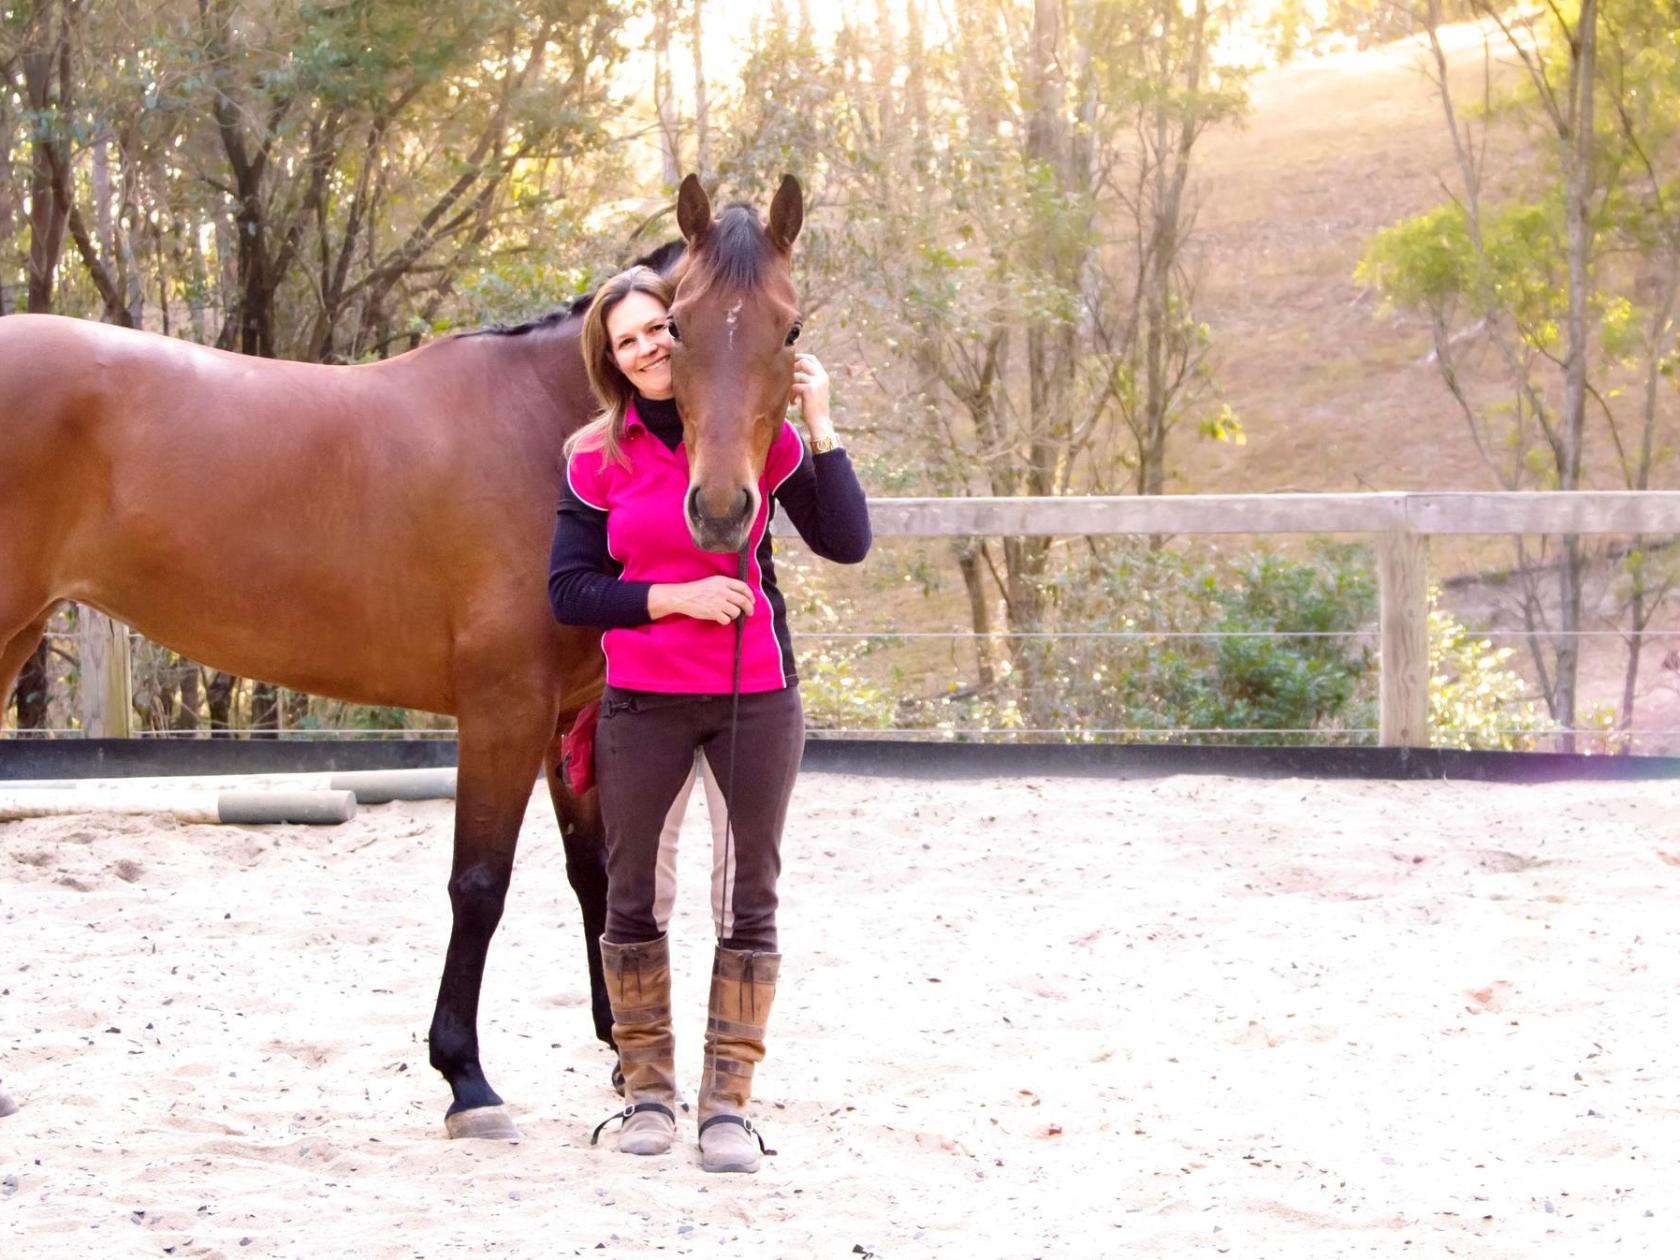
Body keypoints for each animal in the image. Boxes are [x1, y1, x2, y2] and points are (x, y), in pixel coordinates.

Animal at [0, 172, 805, 1141]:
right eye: (675, 327)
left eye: (789, 329)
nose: (719, 510)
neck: (542, 433)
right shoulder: (503, 711)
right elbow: (480, 884)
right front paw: (466, 1078)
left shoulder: (568, 717)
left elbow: (600, 876)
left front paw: (622, 1053)